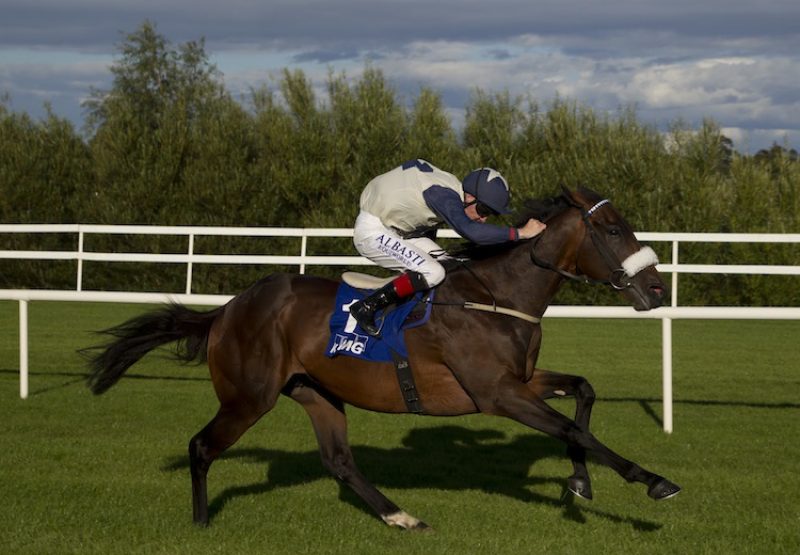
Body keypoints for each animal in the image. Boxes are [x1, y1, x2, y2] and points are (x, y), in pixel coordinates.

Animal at [87, 187, 680, 528]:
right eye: (612, 229)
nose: (657, 288)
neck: (497, 295)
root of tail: (228, 310)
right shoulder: (496, 393)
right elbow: (574, 428)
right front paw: (652, 480)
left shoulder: (521, 381)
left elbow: (583, 392)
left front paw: (580, 483)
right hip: (248, 397)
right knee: (201, 446)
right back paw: (202, 523)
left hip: (317, 392)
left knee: (339, 461)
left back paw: (400, 516)